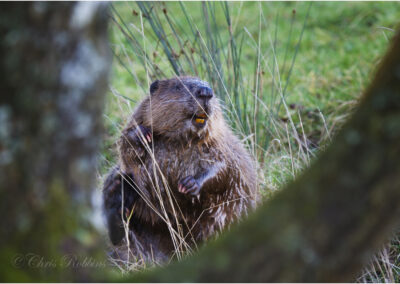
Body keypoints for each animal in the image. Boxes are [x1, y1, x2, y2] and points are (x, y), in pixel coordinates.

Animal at [103, 76, 258, 264]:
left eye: (208, 85)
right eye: (178, 86)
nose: (206, 92)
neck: (182, 141)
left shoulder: (220, 143)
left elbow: (224, 167)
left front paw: (189, 185)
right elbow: (127, 149)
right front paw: (142, 134)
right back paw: (116, 193)